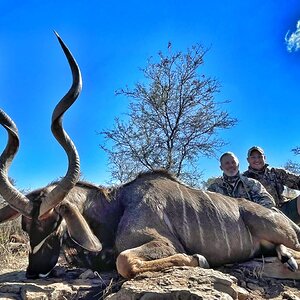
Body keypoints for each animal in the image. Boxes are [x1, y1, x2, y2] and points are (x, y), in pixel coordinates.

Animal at [0, 34, 300, 280]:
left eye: (54, 225)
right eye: (25, 226)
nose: (34, 271)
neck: (116, 205)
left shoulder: (160, 243)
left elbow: (124, 261)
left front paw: (200, 258)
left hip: (283, 232)